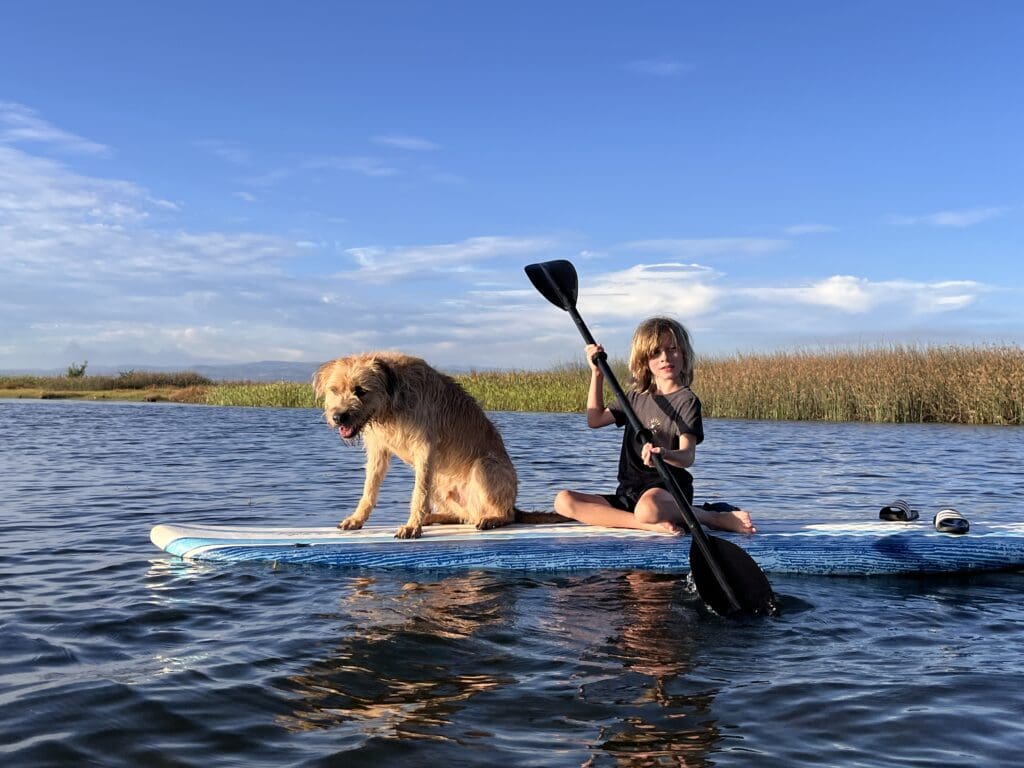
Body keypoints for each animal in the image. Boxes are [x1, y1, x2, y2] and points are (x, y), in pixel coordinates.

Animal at [313, 352, 528, 536]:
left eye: (360, 391)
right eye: (334, 390)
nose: (338, 417)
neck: (392, 403)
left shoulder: (425, 448)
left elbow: (419, 492)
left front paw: (412, 526)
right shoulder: (378, 450)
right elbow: (370, 487)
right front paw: (356, 519)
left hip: (485, 466)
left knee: (505, 514)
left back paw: (492, 518)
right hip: (441, 482)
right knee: (463, 516)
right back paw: (433, 517)